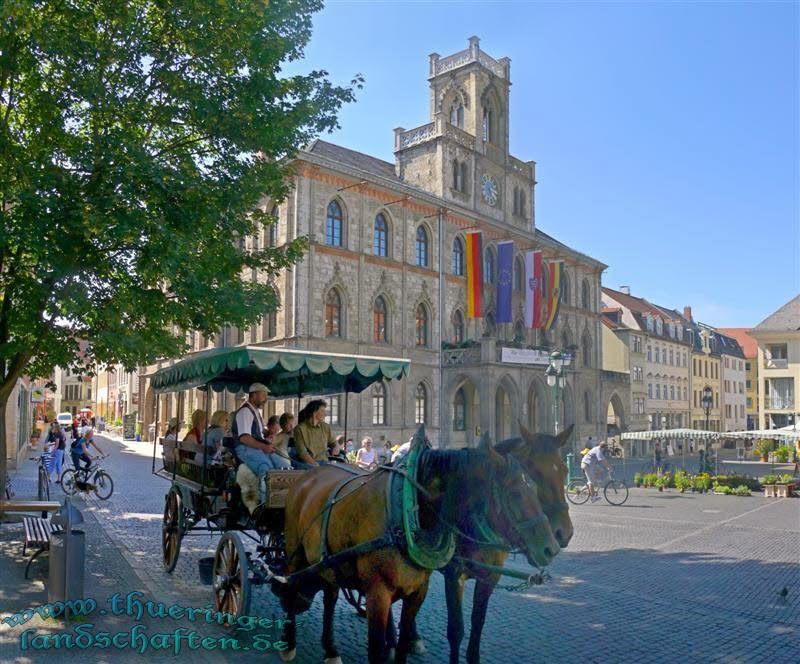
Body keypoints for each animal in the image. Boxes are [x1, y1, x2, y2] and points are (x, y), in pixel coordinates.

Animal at [276, 430, 556, 664]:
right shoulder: (384, 591)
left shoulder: (422, 589)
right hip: (295, 552)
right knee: (291, 586)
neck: (406, 509)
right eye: (515, 492)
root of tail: (311, 473)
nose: (551, 547)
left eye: (534, 486)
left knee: (330, 597)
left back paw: (331, 649)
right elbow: (383, 649)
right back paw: (289, 642)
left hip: (327, 562)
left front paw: (404, 644)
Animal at [410, 426, 572, 664]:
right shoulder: (454, 574)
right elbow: (455, 630)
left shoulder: (490, 576)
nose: (564, 534)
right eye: (535, 471)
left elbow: (478, 625)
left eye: (564, 470)